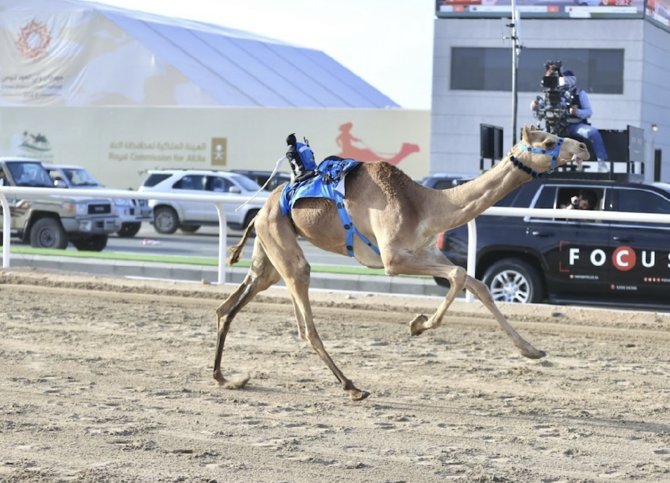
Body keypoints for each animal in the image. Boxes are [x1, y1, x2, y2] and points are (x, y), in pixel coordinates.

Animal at [213, 125, 592, 400]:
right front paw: (418, 324)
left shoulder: (426, 251)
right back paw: (352, 387)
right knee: (305, 323)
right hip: (284, 247)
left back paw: (224, 377)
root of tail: (263, 207)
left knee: (229, 306)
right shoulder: (393, 258)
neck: (424, 205)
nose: (584, 147)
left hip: (268, 253)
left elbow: (478, 283)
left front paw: (532, 350)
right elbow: (458, 274)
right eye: (549, 140)